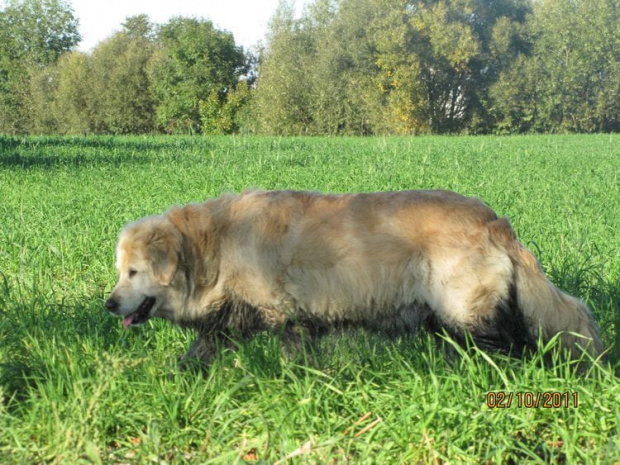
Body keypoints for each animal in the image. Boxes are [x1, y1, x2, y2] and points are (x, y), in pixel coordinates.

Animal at [105, 188, 600, 362]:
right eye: (120, 272)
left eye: (133, 272)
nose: (108, 304)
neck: (216, 248)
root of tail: (495, 221)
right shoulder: (238, 319)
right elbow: (200, 350)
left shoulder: (289, 313)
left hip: (467, 310)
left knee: (504, 344)